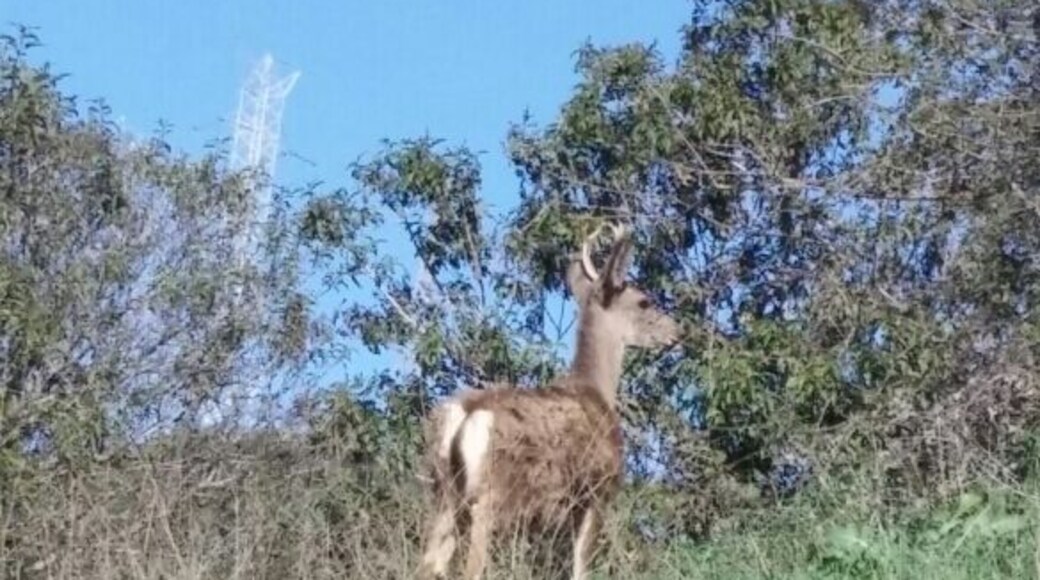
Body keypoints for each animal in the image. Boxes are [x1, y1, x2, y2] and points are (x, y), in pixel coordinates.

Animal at [417, 222, 681, 580]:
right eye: (644, 301)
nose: (677, 332)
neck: (596, 390)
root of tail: (467, 416)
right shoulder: (598, 492)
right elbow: (581, 567)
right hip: (490, 495)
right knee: (471, 568)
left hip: (444, 493)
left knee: (428, 563)